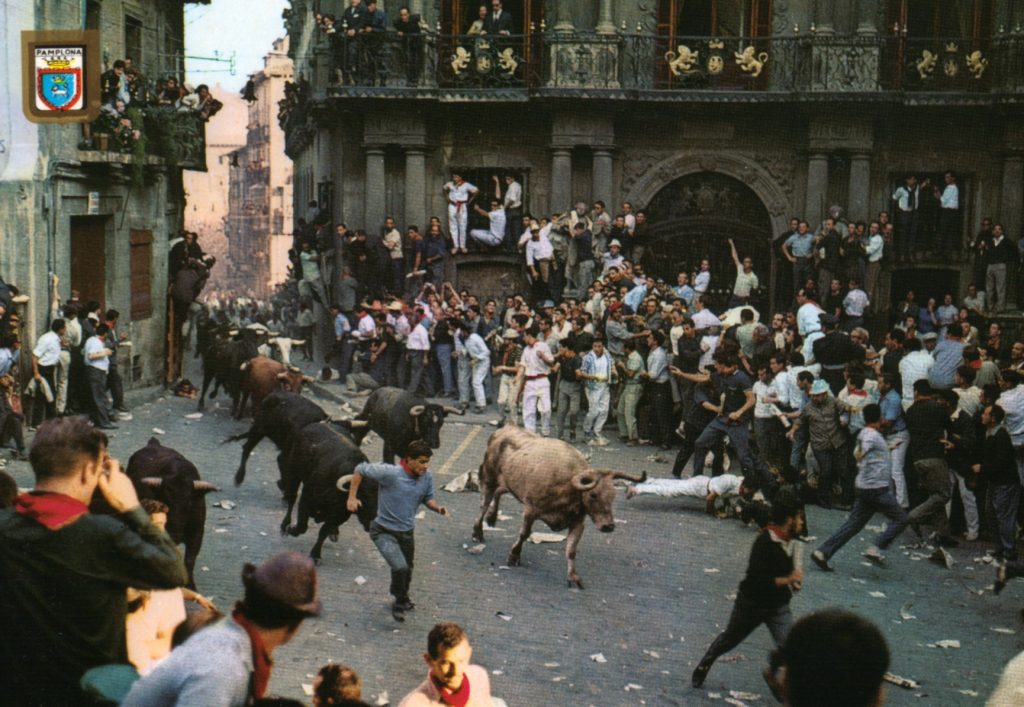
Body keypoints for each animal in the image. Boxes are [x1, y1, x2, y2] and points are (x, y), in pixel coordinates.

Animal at [468, 426, 643, 586]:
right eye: (593, 494)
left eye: (613, 495)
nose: (608, 526)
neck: (567, 487)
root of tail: (501, 430)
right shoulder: (530, 511)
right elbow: (524, 534)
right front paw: (514, 556)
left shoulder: (578, 523)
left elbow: (571, 550)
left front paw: (573, 577)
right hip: (489, 479)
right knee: (483, 505)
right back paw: (478, 532)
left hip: (508, 482)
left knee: (499, 492)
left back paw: (492, 517)